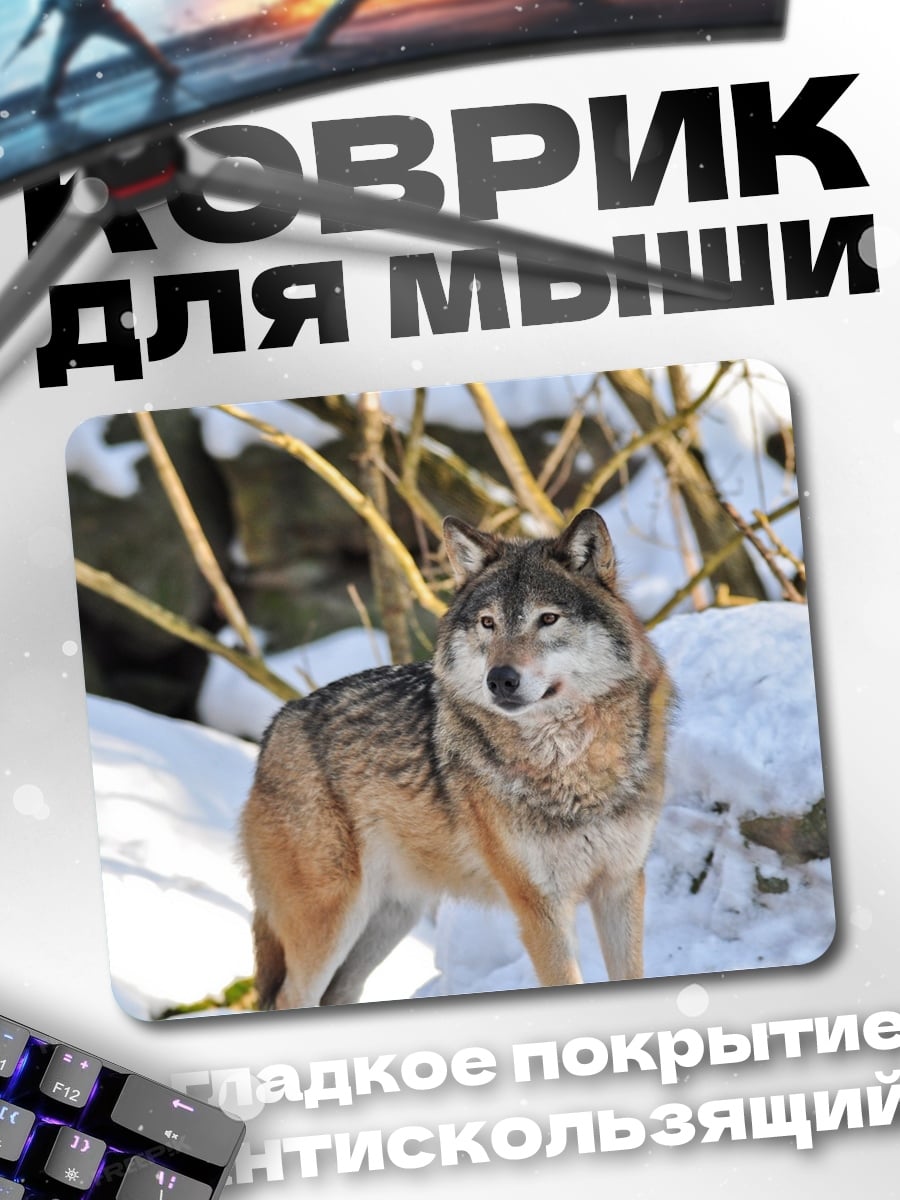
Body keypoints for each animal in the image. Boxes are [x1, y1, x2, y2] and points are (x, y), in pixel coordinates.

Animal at [241, 508, 673, 1008]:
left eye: (547, 619)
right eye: (488, 623)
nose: (500, 679)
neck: (570, 768)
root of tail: (277, 724)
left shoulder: (621, 887)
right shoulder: (540, 906)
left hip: (387, 920)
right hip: (332, 919)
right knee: (289, 998)